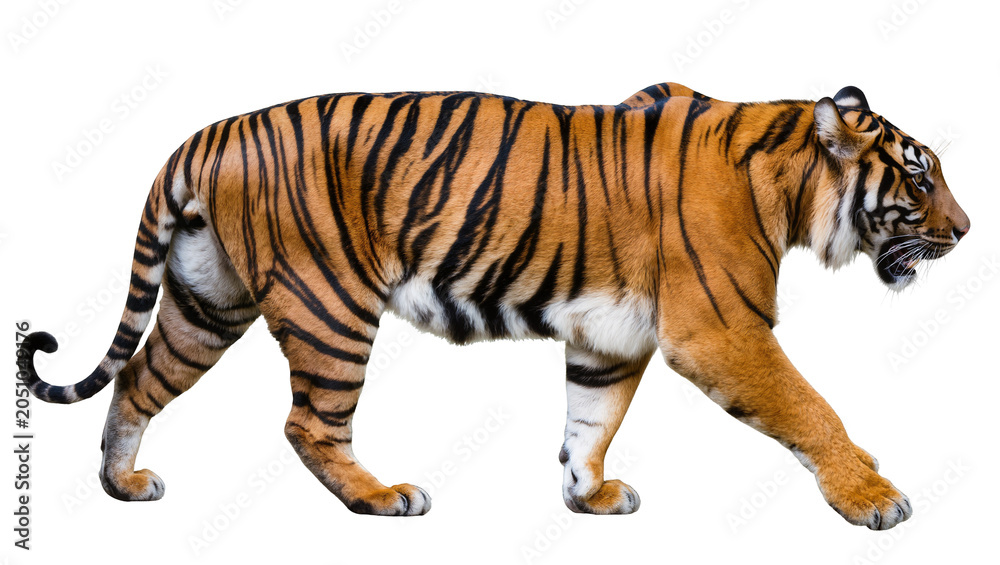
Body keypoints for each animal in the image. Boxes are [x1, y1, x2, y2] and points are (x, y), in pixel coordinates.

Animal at [17, 81, 969, 529]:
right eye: (919, 177)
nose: (965, 230)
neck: (788, 179)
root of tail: (205, 133)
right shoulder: (722, 329)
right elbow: (812, 408)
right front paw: (872, 496)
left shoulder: (607, 339)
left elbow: (589, 421)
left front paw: (589, 496)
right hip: (331, 305)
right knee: (307, 423)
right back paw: (383, 496)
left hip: (205, 303)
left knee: (139, 379)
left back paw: (122, 482)